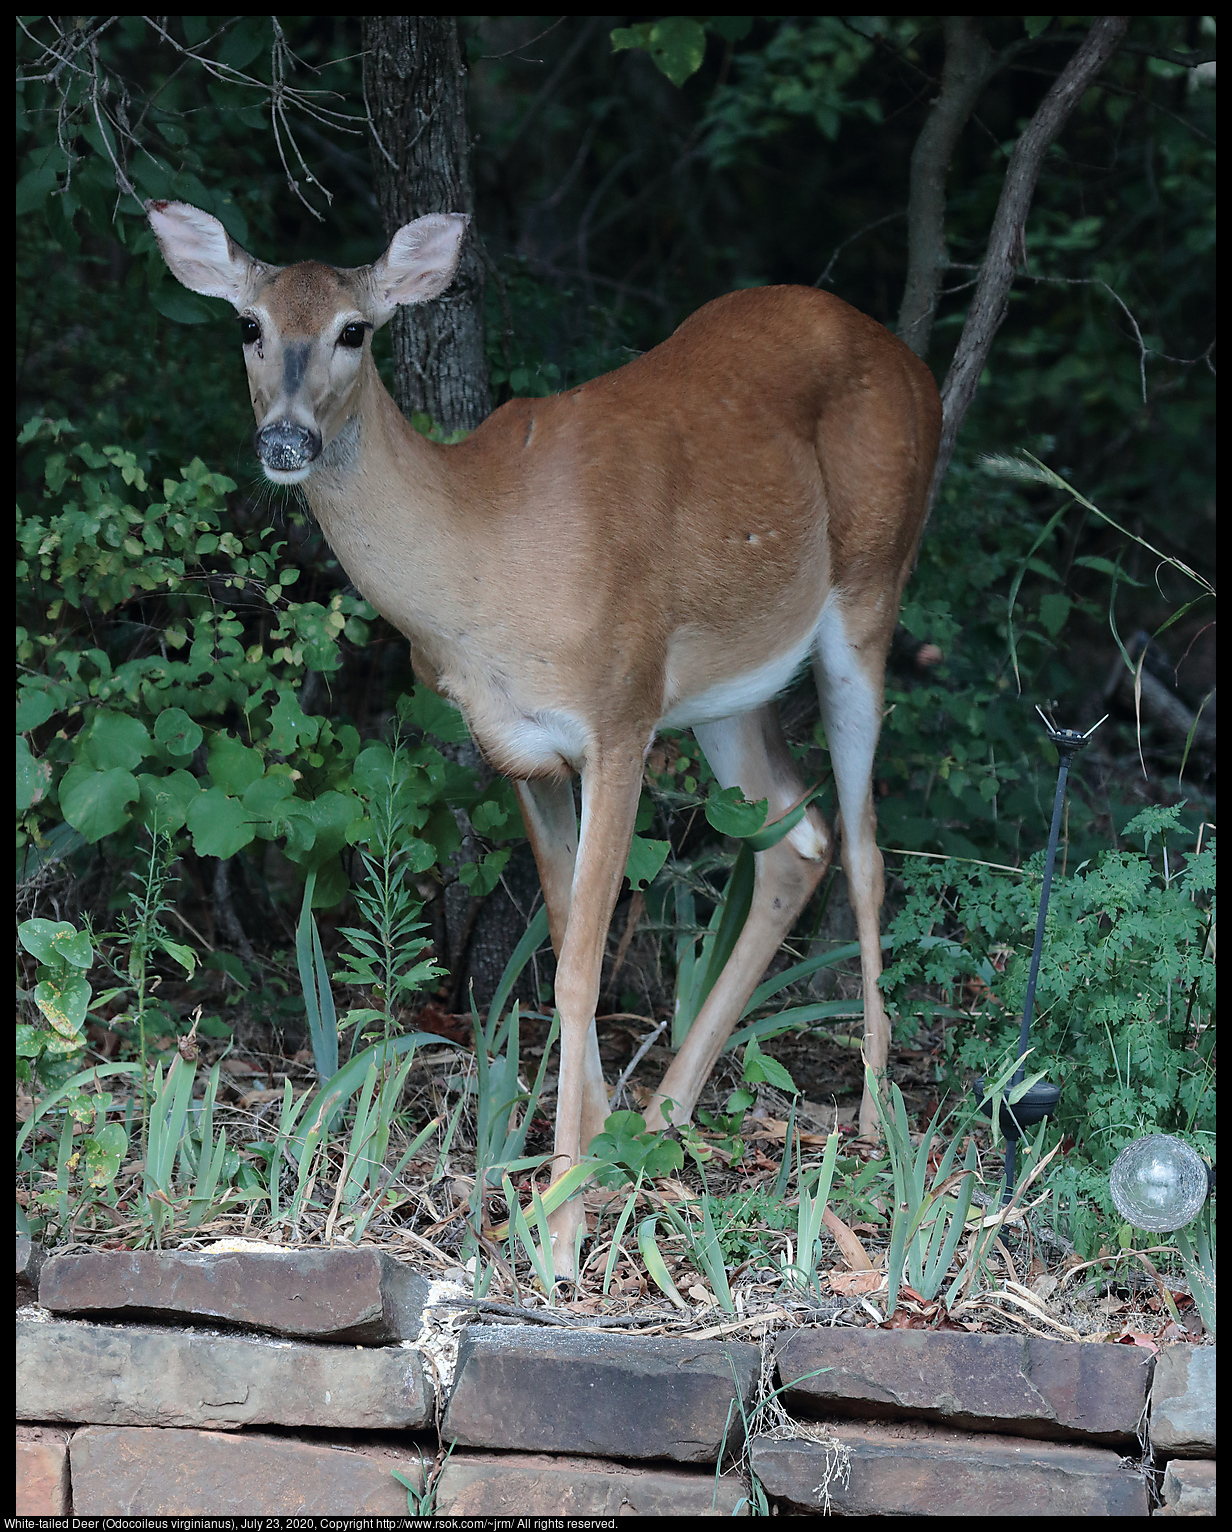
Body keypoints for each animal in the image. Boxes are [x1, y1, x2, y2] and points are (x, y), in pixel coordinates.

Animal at [149, 203, 937, 1280]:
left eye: (355, 330)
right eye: (248, 325)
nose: (286, 437)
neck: (484, 560)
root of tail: (915, 365)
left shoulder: (618, 715)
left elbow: (577, 968)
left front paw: (560, 1228)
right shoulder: (518, 748)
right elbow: (563, 933)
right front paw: (596, 1148)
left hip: (869, 591)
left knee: (863, 845)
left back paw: (868, 1119)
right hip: (726, 686)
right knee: (797, 833)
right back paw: (668, 1112)